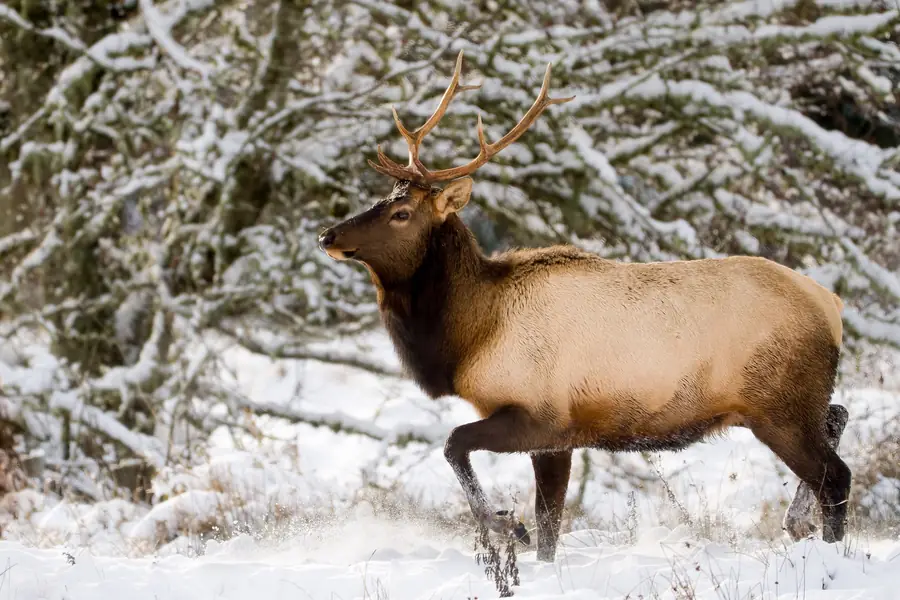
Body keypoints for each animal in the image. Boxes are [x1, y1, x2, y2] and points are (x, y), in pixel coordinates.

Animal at [317, 51, 852, 562]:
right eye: (380, 199)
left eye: (402, 213)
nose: (328, 235)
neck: (472, 336)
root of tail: (831, 304)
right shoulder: (560, 436)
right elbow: (551, 522)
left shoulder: (541, 415)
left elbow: (456, 445)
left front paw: (508, 526)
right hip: (796, 398)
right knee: (838, 416)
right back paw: (797, 522)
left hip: (779, 403)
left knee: (836, 476)